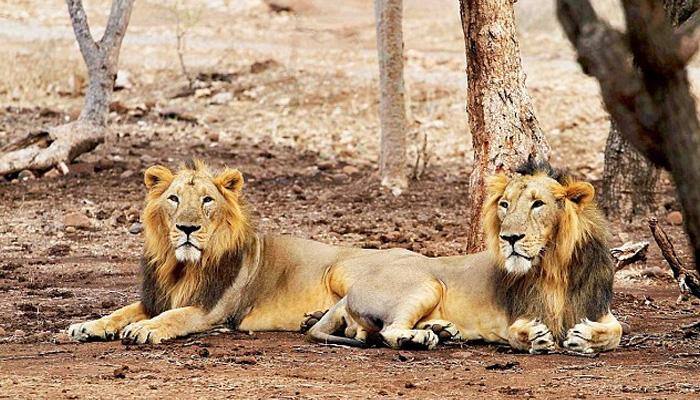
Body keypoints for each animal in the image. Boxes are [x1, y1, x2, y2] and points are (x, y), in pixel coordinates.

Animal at [305, 160, 622, 353]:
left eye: (538, 204)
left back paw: (441, 329)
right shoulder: (512, 318)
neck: (553, 266)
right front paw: (534, 337)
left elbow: (616, 330)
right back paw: (419, 337)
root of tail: (352, 292)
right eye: (505, 205)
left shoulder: (597, 308)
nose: (510, 238)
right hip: (427, 284)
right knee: (389, 332)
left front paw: (586, 337)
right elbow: (518, 331)